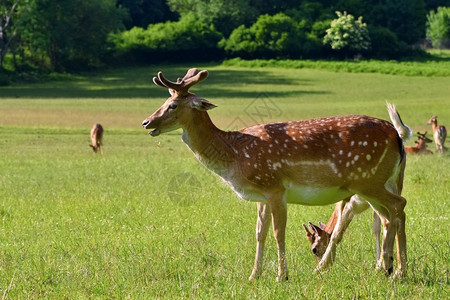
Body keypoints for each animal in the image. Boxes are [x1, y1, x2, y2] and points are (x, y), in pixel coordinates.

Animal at [142, 68, 412, 282]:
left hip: (367, 180)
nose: (146, 122)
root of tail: (398, 137)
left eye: (173, 105)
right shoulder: (261, 196)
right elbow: (259, 233)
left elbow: (278, 232)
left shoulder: (275, 187)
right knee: (389, 216)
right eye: (163, 102)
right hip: (378, 183)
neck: (235, 155)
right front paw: (254, 275)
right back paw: (391, 268)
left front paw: (282, 276)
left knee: (398, 206)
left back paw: (394, 270)